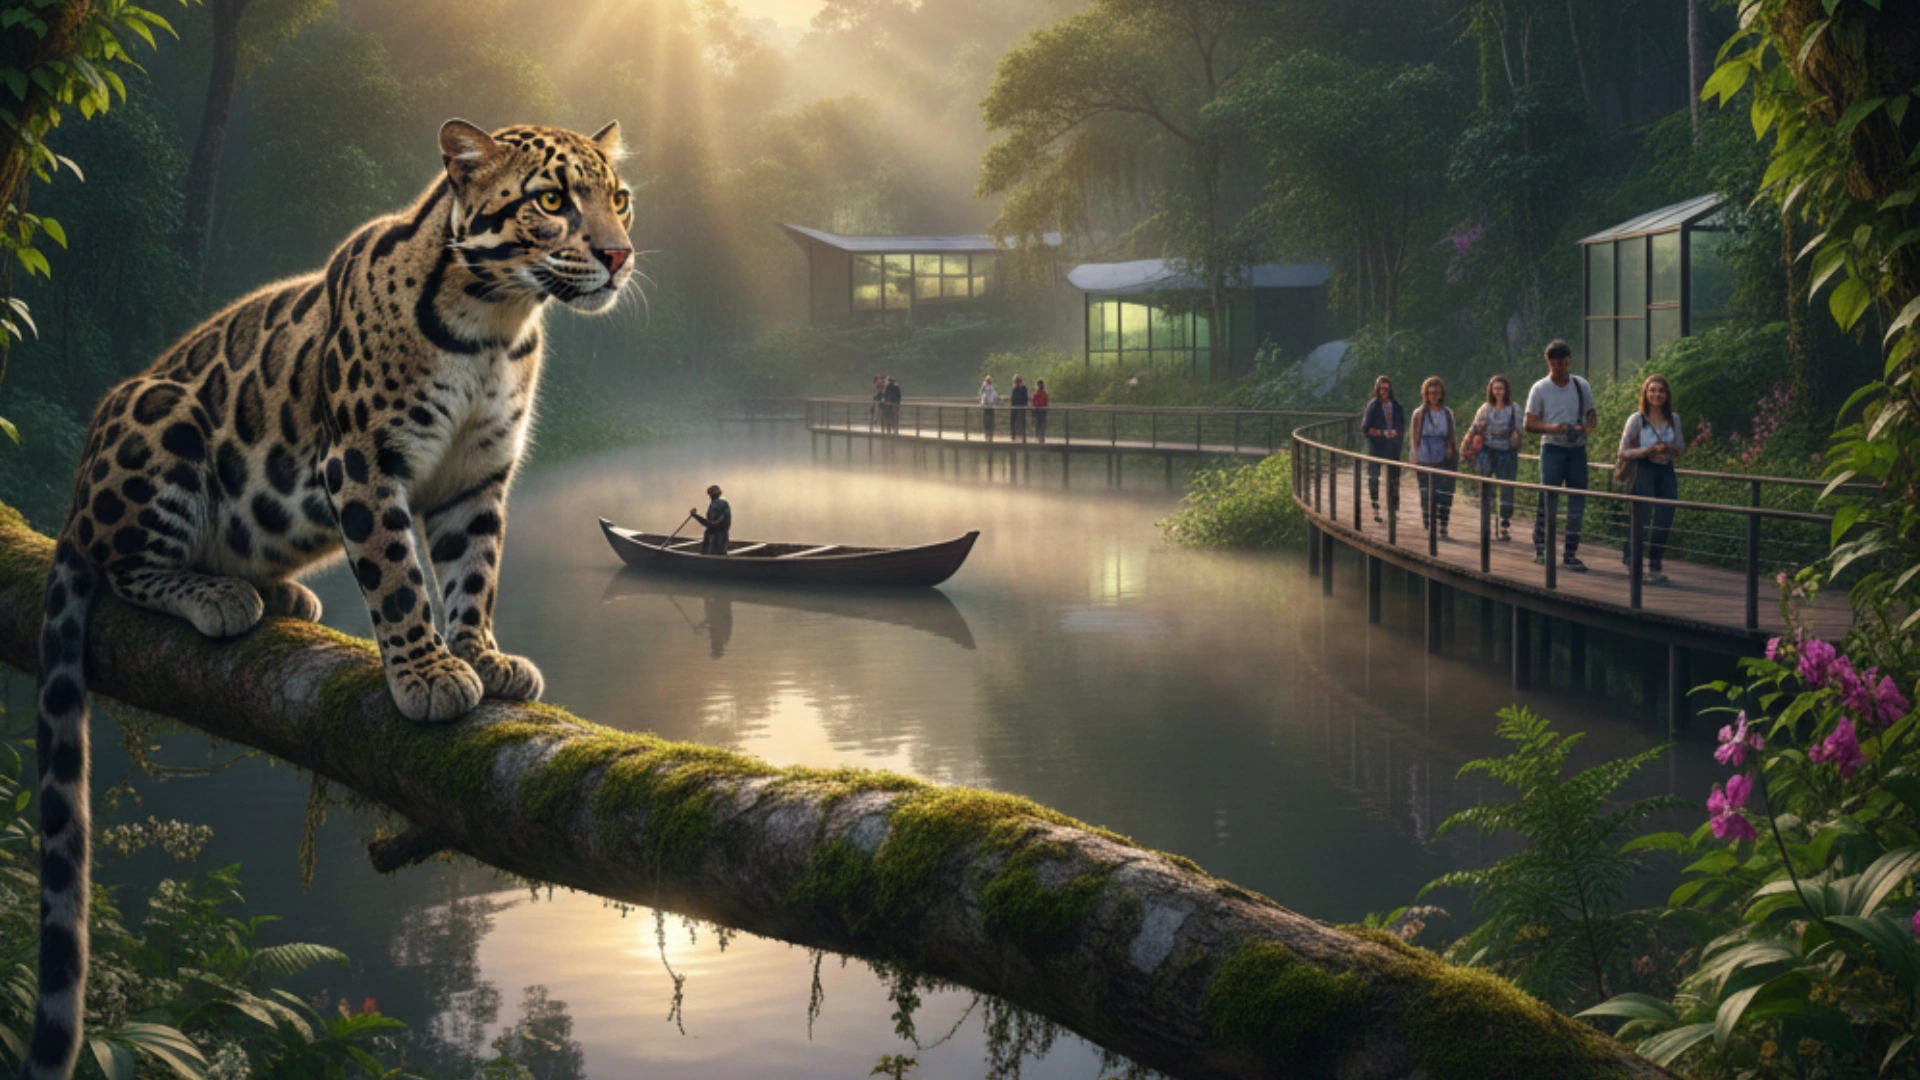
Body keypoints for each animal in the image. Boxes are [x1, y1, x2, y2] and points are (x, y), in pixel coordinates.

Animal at [23, 119, 636, 1080]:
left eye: (620, 199)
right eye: (551, 201)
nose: (618, 255)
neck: (497, 327)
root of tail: (72, 498)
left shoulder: (478, 476)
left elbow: (473, 573)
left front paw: (481, 654)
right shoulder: (363, 463)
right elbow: (397, 579)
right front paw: (427, 676)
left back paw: (281, 594)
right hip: (161, 422)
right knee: (123, 561)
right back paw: (218, 595)